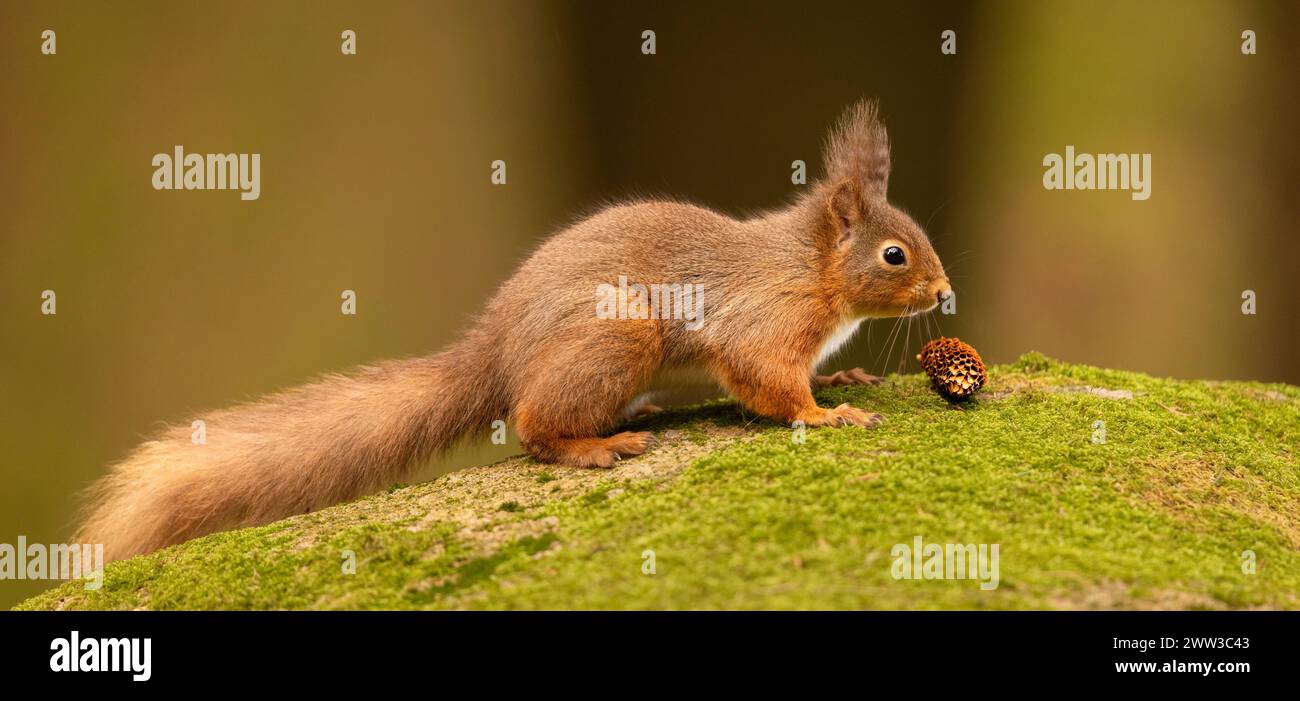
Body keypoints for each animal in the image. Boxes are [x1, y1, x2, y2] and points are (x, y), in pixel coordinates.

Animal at [83, 100, 956, 559]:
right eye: (894, 254)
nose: (947, 292)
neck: (811, 268)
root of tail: (494, 354)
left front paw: (840, 377)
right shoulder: (764, 318)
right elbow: (770, 381)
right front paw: (829, 413)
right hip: (619, 339)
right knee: (533, 424)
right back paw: (595, 445)